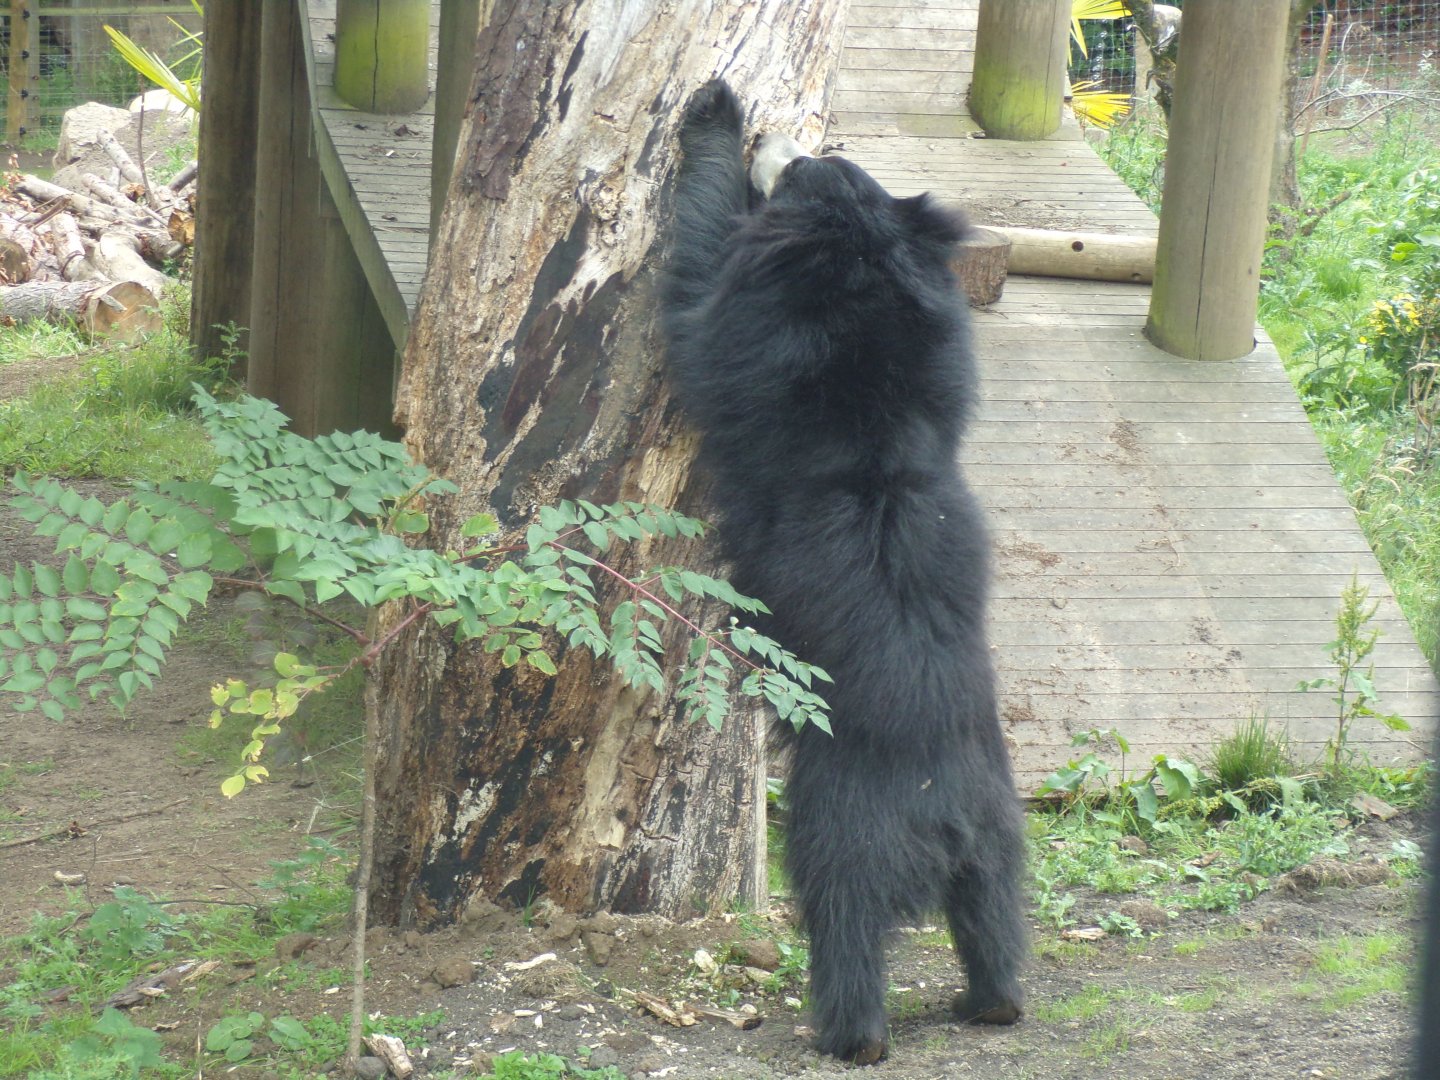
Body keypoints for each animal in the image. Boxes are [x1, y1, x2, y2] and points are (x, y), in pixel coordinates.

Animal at [659, 79, 1028, 1064]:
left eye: (795, 169)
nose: (779, 131)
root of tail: (944, 813)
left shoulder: (748, 335)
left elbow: (695, 291)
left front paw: (710, 116)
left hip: (839, 817)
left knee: (844, 914)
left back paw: (848, 1033)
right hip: (1003, 833)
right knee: (997, 915)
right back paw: (995, 1003)